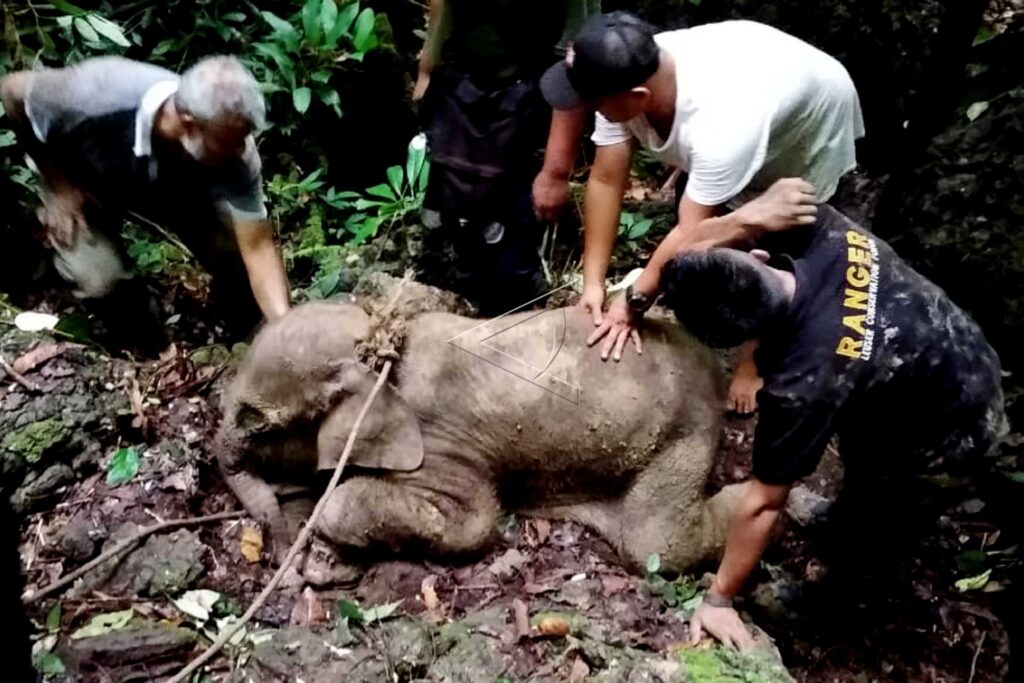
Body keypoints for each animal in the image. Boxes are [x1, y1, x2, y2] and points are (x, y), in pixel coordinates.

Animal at [214, 284, 743, 585]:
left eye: (256, 422)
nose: (283, 571)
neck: (386, 347)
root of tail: (711, 365)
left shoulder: (444, 444)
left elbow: (474, 523)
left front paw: (325, 559)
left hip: (683, 435)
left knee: (657, 541)